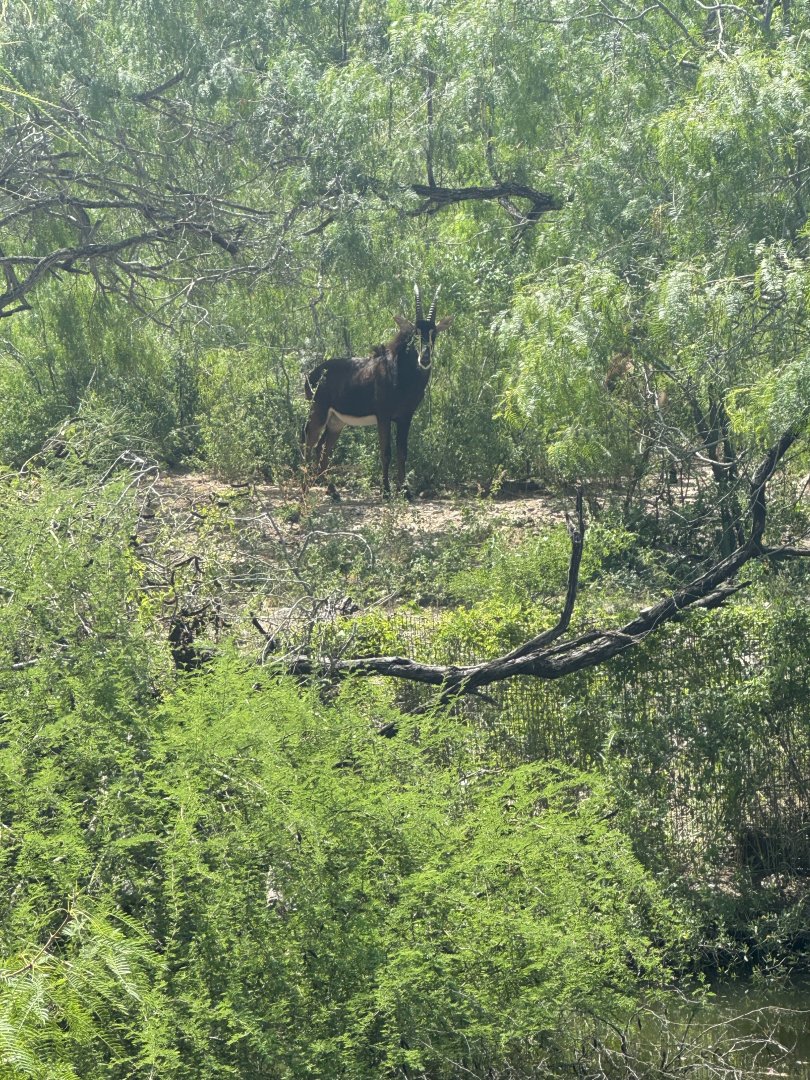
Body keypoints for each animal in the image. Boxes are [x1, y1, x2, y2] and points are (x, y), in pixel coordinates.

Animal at [302, 285, 453, 498]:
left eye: (433, 334)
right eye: (414, 333)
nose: (424, 359)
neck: (401, 373)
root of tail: (313, 374)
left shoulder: (405, 417)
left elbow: (402, 452)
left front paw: (405, 491)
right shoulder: (384, 416)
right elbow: (386, 452)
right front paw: (386, 491)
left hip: (336, 421)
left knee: (323, 448)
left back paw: (332, 491)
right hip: (319, 412)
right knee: (310, 443)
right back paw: (305, 488)